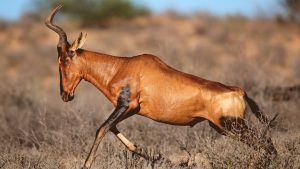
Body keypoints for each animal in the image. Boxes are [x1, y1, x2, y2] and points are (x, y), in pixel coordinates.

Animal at [45, 5, 278, 169]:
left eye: (65, 59)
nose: (65, 95)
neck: (123, 66)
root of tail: (239, 90)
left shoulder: (126, 105)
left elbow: (101, 128)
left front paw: (86, 164)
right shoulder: (129, 109)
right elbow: (111, 128)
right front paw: (147, 153)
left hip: (232, 125)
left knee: (266, 144)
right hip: (223, 127)